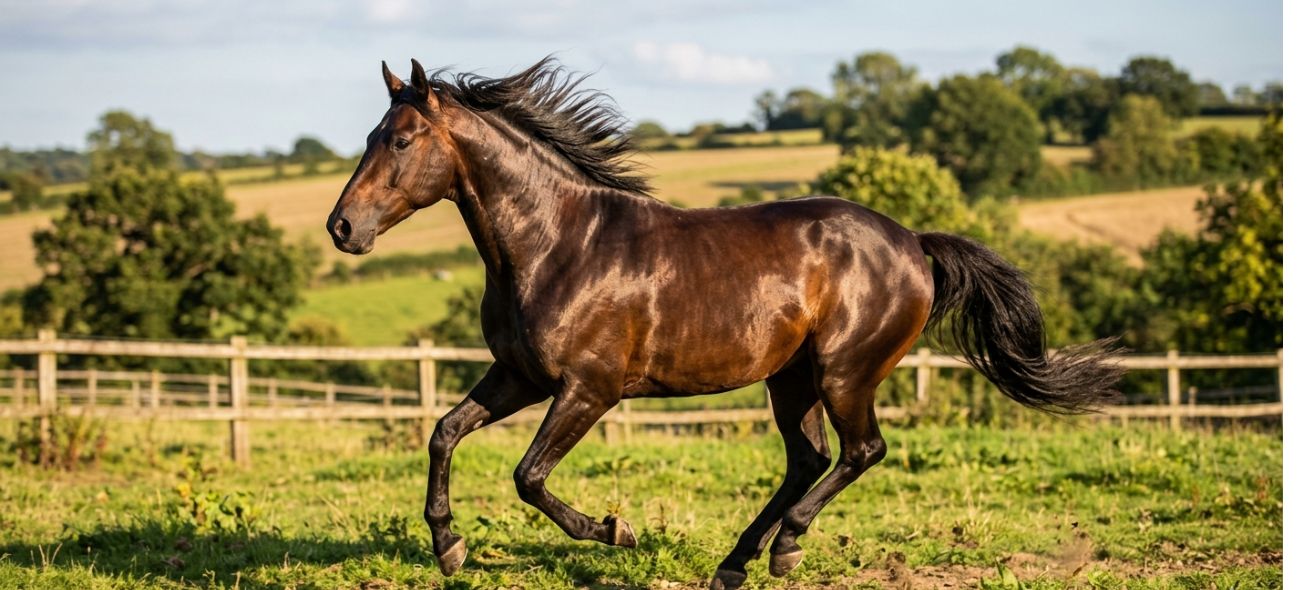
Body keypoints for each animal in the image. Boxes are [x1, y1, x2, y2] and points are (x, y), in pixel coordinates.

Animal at [325, 57, 1122, 590]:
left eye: (400, 141)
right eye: (368, 134)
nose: (341, 228)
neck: (558, 245)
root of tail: (912, 242)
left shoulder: (588, 389)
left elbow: (528, 476)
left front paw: (616, 531)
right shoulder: (520, 374)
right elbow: (444, 433)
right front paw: (449, 546)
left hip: (844, 371)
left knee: (861, 451)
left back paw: (786, 548)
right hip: (790, 378)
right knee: (809, 458)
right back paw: (738, 563)